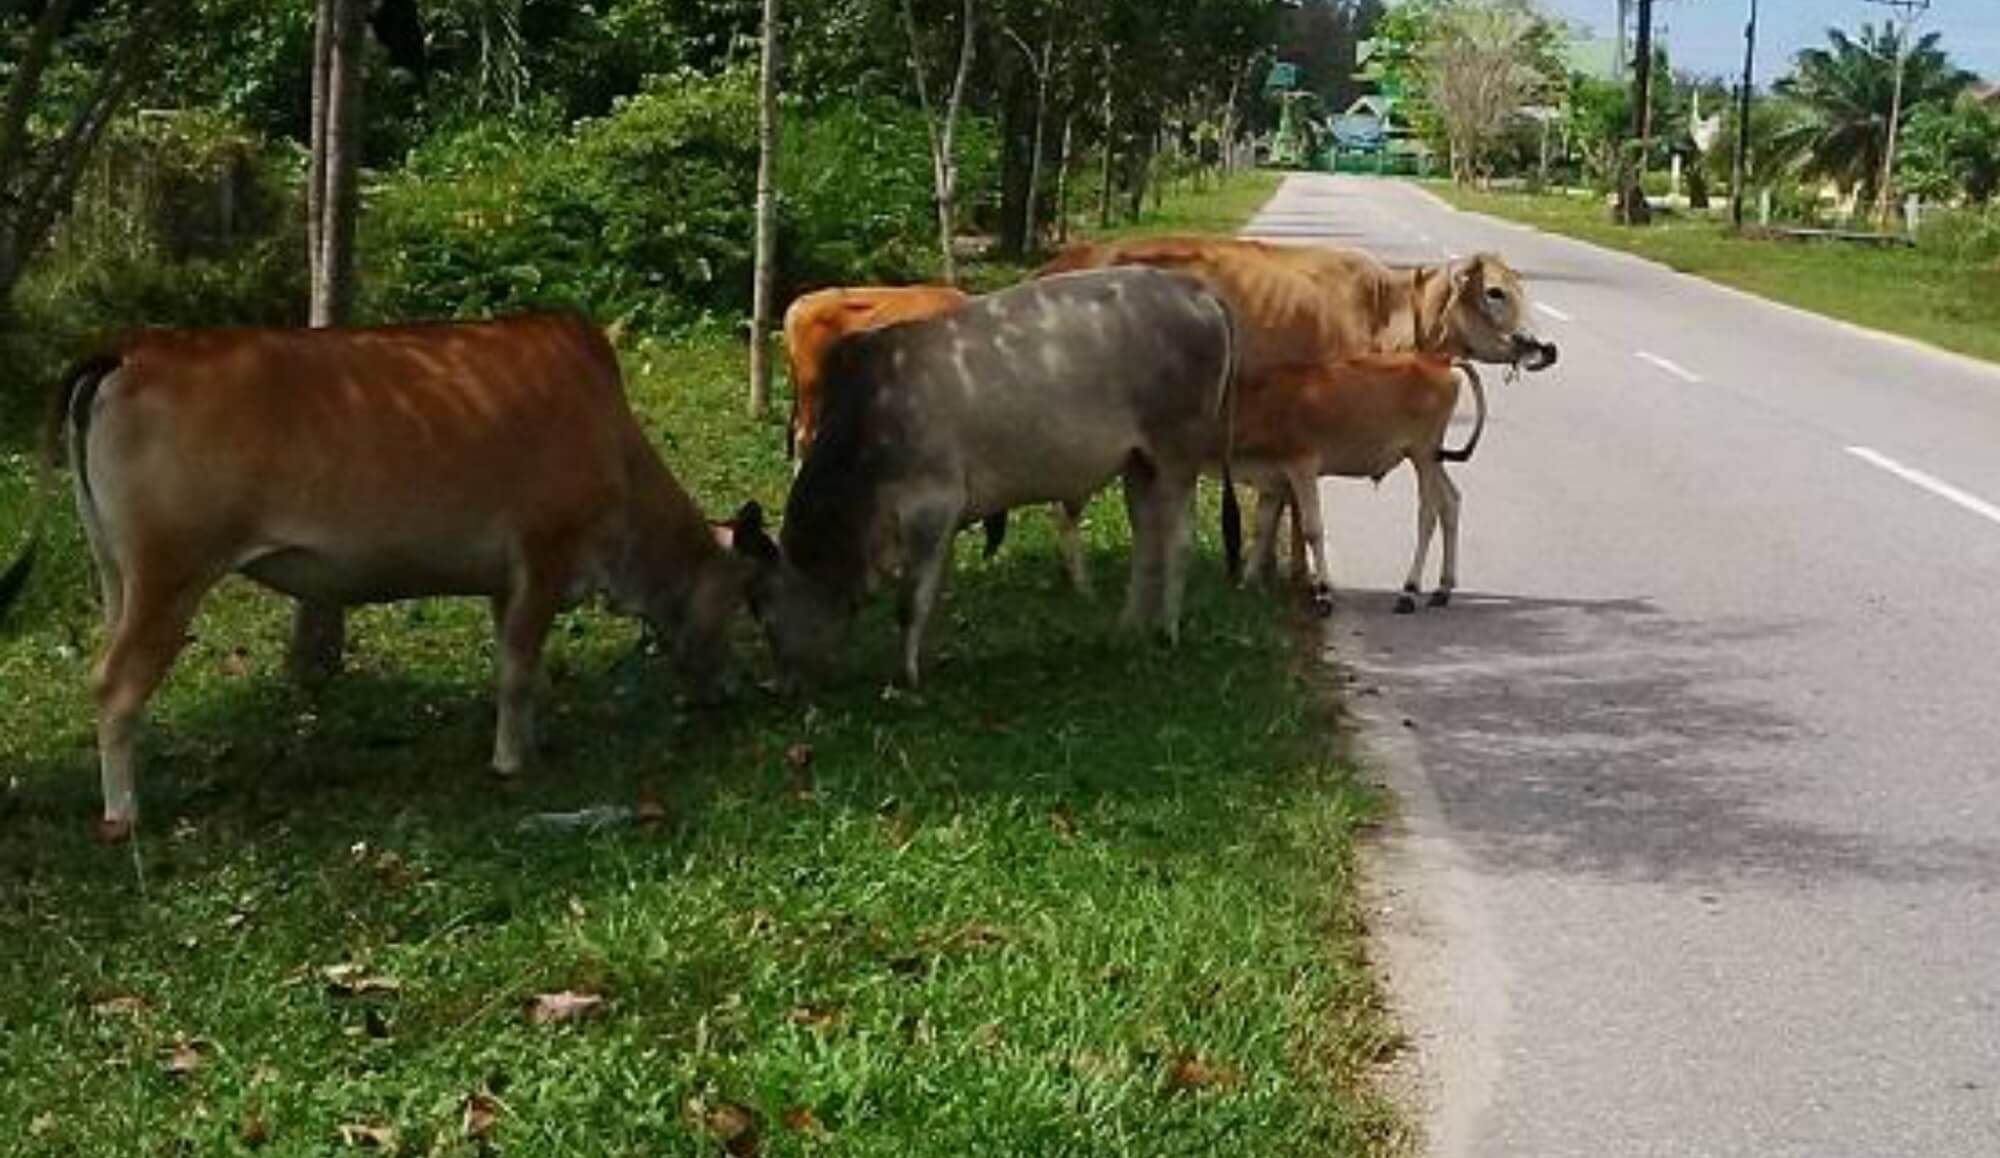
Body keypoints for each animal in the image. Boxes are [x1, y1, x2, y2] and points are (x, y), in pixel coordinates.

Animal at [5, 314, 752, 844]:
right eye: (740, 605)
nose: (728, 692)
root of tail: (133, 350)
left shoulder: (506, 581)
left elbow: (518, 666)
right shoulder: (545, 551)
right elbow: (517, 669)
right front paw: (513, 762)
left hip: (118, 575)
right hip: (171, 573)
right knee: (115, 684)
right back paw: (123, 810)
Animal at [1232, 358, 1488, 616]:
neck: (1262, 401)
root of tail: (1442, 363)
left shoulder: (1302, 467)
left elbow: (1312, 530)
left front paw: (1324, 594)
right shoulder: (1273, 480)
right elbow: (1262, 529)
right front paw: (1246, 584)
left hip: (1424, 454)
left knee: (1428, 513)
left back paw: (1409, 591)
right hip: (1431, 459)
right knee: (1450, 501)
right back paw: (1443, 588)